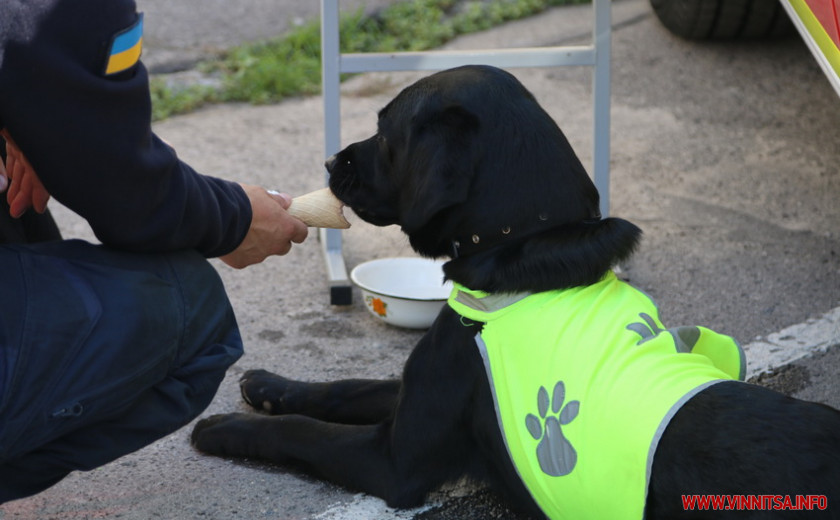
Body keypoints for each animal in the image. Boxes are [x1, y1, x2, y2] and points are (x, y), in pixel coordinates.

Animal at [192, 67, 840, 516]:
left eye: (384, 132)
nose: (330, 161)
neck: (524, 236)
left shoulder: (393, 462)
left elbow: (302, 431)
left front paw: (224, 429)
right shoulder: (419, 386)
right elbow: (346, 388)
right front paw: (270, 386)